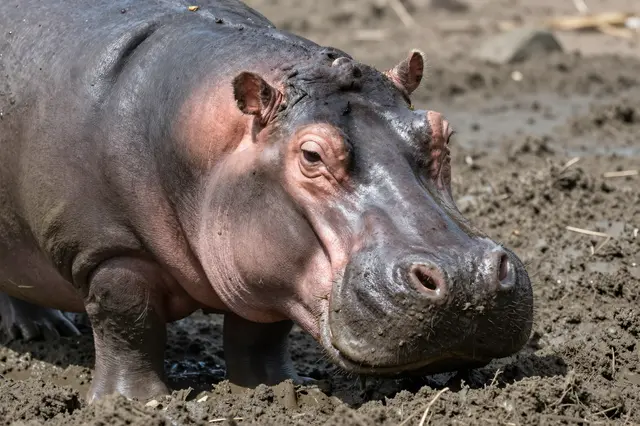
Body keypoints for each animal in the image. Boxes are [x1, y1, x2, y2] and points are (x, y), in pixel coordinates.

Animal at [0, 0, 533, 402]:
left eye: (443, 131)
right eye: (312, 155)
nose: (467, 279)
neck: (203, 137)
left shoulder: (269, 272)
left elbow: (260, 333)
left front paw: (279, 389)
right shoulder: (111, 251)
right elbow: (127, 320)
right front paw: (133, 404)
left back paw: (43, 329)